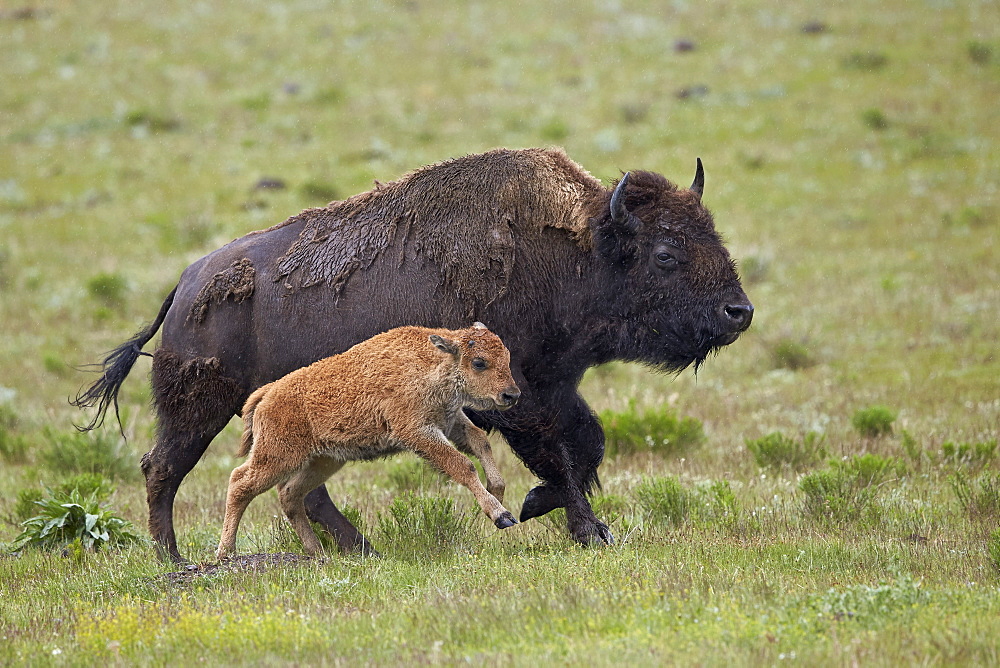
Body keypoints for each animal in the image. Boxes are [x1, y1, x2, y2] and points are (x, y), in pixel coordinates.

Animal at [214, 324, 520, 560]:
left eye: (506, 356)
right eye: (479, 362)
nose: (511, 394)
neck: (432, 362)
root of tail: (268, 393)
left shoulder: (451, 420)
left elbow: (480, 442)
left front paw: (497, 490)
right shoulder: (418, 433)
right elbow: (462, 465)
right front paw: (501, 515)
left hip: (323, 461)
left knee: (290, 494)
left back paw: (317, 552)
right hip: (278, 457)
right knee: (240, 483)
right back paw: (225, 551)